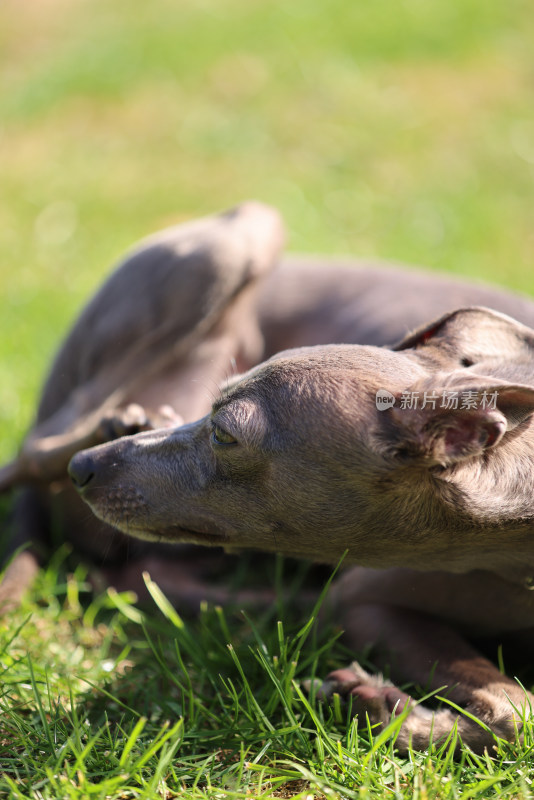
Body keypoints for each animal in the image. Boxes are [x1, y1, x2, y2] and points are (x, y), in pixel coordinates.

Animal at [1, 203, 534, 752]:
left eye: (224, 434)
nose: (84, 469)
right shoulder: (365, 601)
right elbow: (518, 709)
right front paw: (376, 704)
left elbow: (514, 713)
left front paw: (386, 708)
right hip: (242, 236)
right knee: (35, 451)